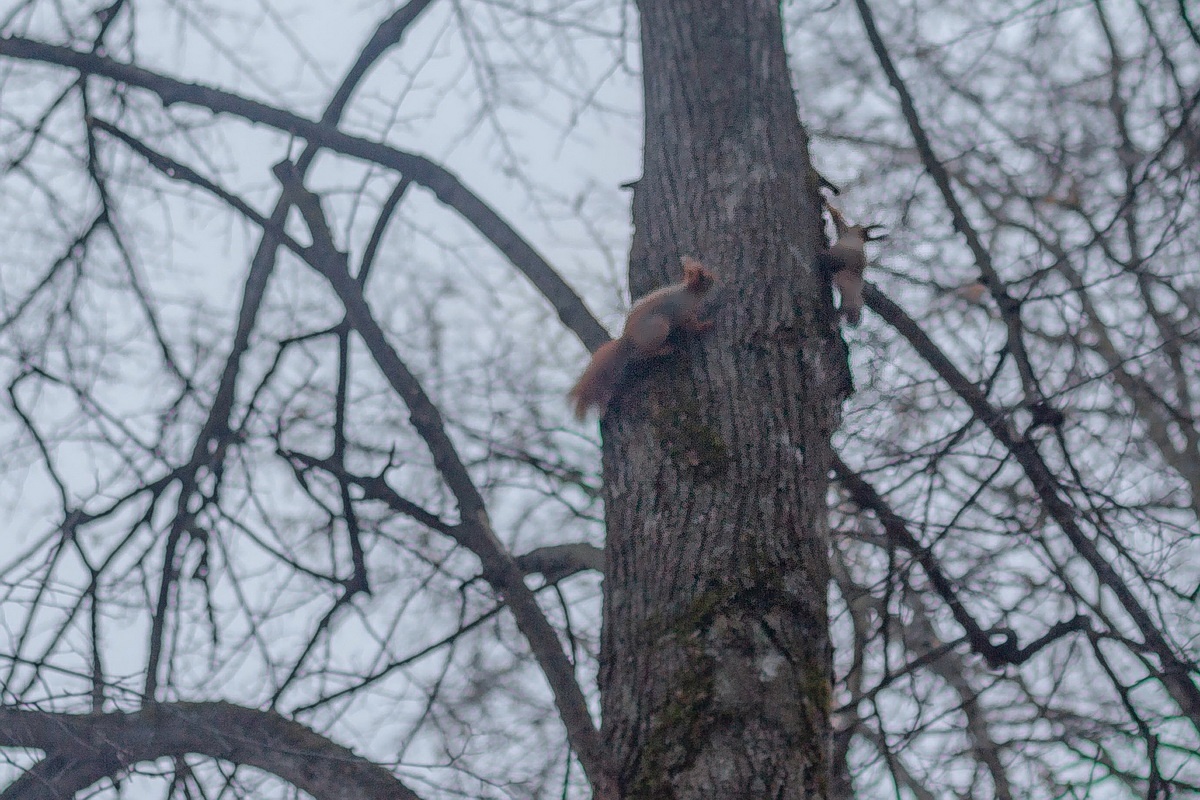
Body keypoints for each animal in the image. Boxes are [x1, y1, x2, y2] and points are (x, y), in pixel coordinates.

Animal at [568, 257, 715, 422]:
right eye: (704, 277)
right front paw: (705, 326)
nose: (715, 278)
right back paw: (665, 349)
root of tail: (628, 339)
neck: (688, 293)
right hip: (659, 329)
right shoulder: (683, 313)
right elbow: (692, 326)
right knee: (642, 354)